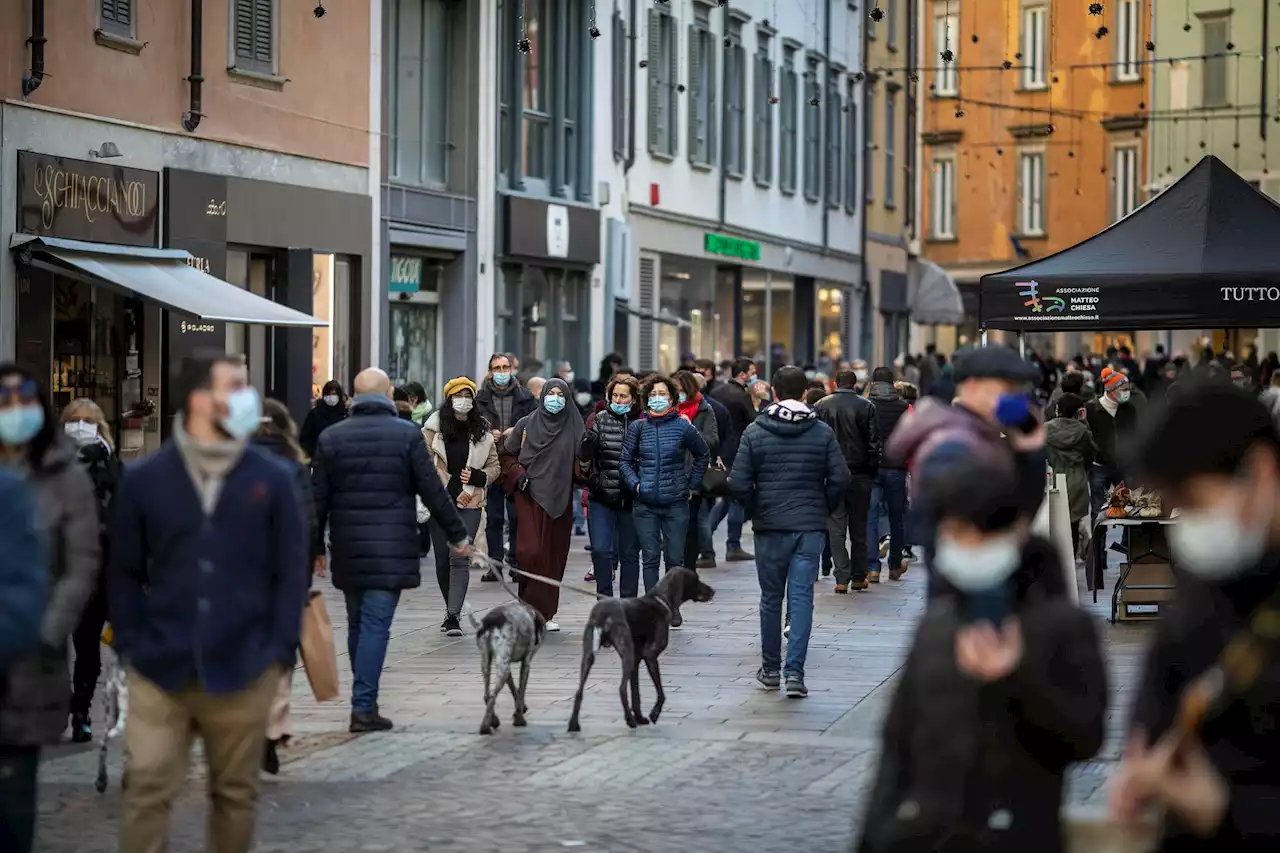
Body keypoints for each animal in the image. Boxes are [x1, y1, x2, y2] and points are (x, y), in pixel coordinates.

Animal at [568, 563, 716, 732]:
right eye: (696, 579)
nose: (713, 591)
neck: (660, 600)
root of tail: (602, 613)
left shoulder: (637, 661)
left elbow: (636, 692)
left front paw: (640, 717)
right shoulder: (650, 655)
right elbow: (660, 692)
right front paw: (654, 714)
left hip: (589, 656)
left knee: (579, 691)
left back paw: (574, 724)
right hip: (627, 653)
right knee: (621, 689)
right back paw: (629, 721)